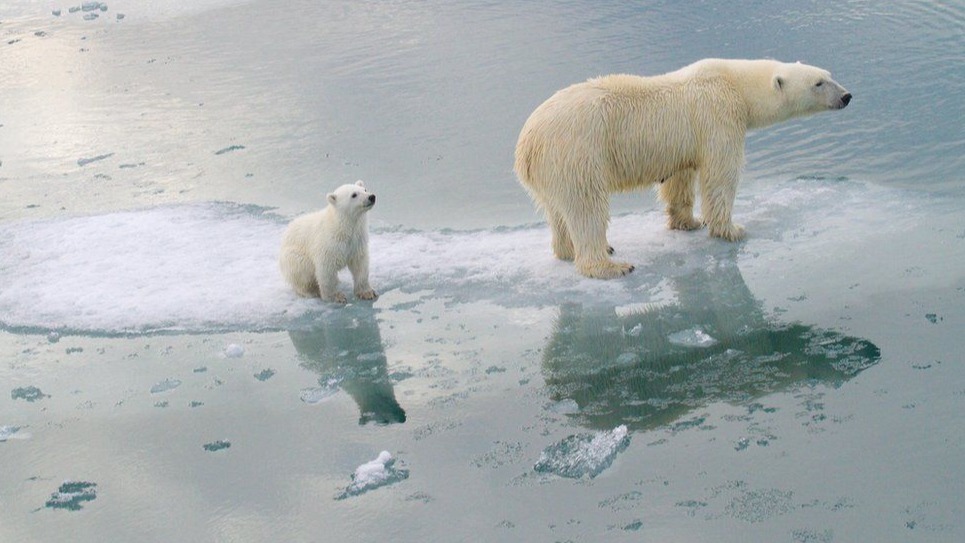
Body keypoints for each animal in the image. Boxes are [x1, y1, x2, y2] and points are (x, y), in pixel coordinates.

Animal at [514, 58, 852, 279]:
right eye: (818, 83)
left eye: (828, 74)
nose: (847, 96)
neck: (735, 82)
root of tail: (527, 144)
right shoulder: (718, 116)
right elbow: (721, 174)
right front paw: (732, 229)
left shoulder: (684, 142)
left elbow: (680, 178)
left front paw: (688, 222)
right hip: (577, 152)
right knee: (586, 207)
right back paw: (610, 264)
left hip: (551, 170)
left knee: (557, 211)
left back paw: (568, 250)